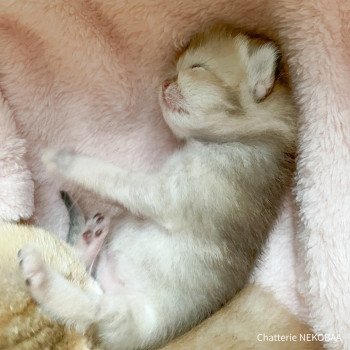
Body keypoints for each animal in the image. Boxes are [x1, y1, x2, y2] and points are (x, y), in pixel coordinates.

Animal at [18, 28, 296, 350]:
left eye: (197, 68)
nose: (163, 82)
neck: (254, 140)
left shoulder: (168, 194)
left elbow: (111, 175)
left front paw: (63, 159)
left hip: (127, 317)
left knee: (87, 305)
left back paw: (39, 272)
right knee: (81, 273)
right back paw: (89, 240)